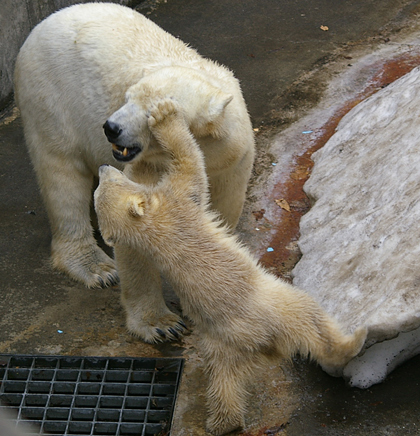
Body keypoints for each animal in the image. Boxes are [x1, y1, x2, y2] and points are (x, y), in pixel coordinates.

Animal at [14, 3, 254, 344]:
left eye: (151, 114)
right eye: (127, 97)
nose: (110, 128)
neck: (207, 148)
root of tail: (46, 21)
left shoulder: (231, 162)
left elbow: (218, 216)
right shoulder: (148, 169)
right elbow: (131, 229)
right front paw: (161, 324)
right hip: (50, 99)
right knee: (62, 177)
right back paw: (94, 266)